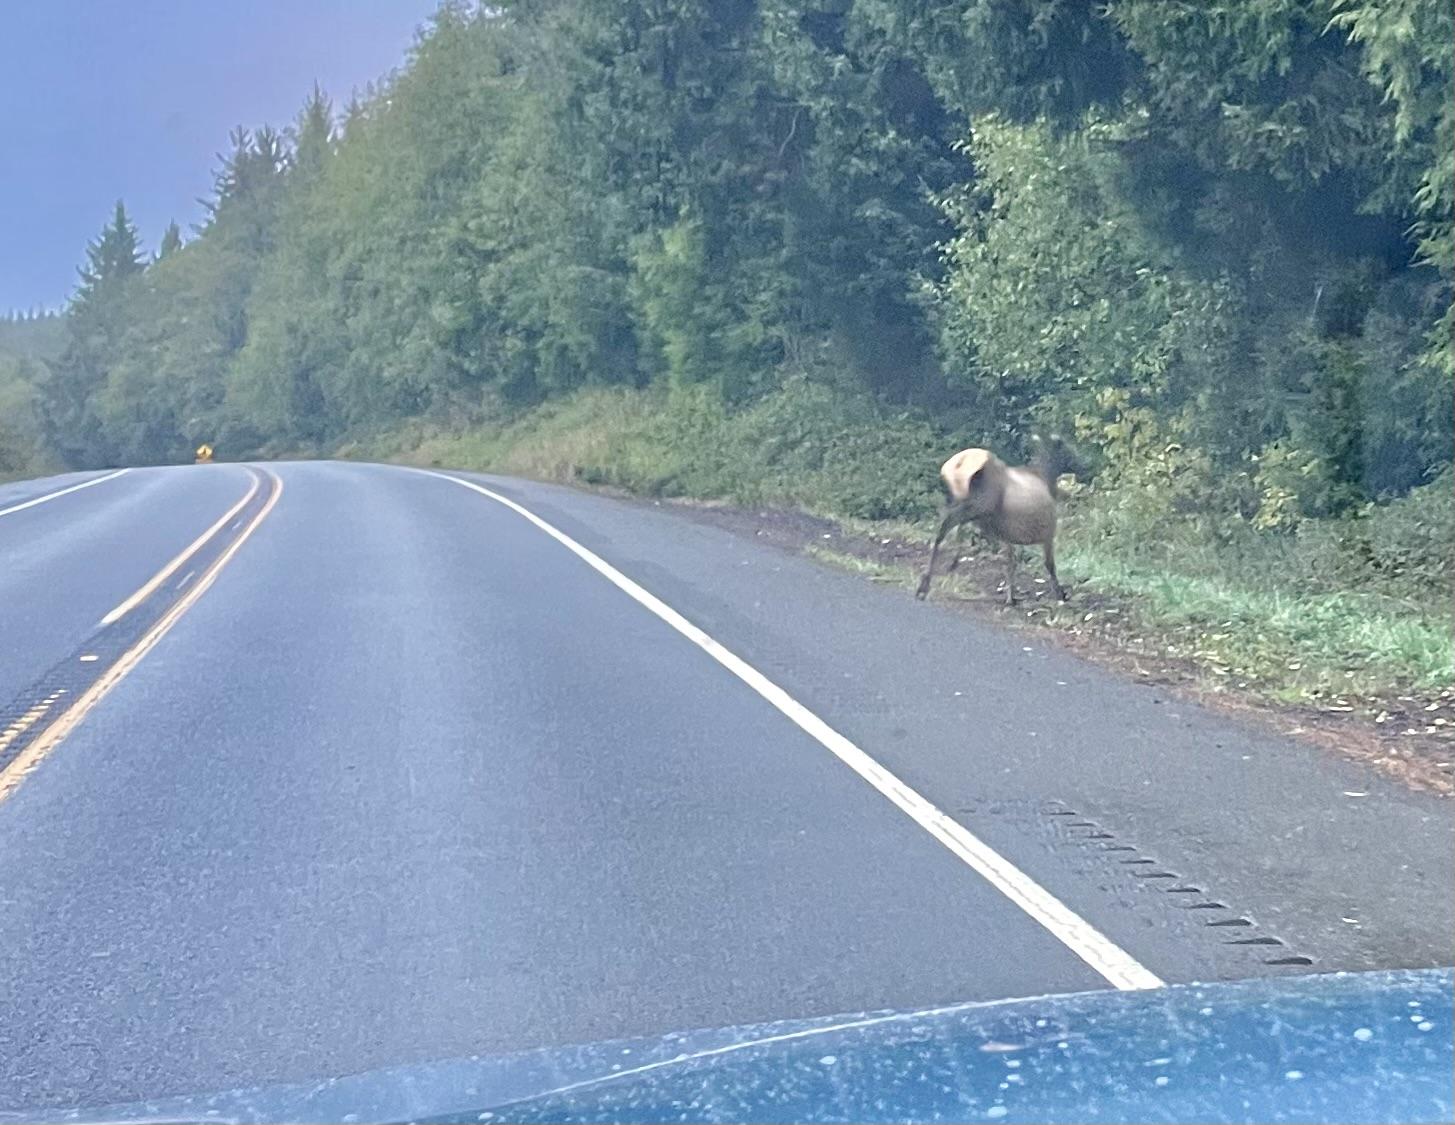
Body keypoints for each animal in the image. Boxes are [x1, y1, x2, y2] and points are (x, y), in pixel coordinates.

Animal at [913, 433, 1088, 605]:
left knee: (944, 526)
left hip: (960, 502)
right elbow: (1049, 564)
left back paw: (935, 575)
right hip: (978, 504)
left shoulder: (1006, 533)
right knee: (946, 525)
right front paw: (1060, 594)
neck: (1046, 478)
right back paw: (932, 578)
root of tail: (956, 466)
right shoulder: (1048, 531)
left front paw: (1010, 596)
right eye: (1068, 448)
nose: (1082, 464)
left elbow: (1010, 562)